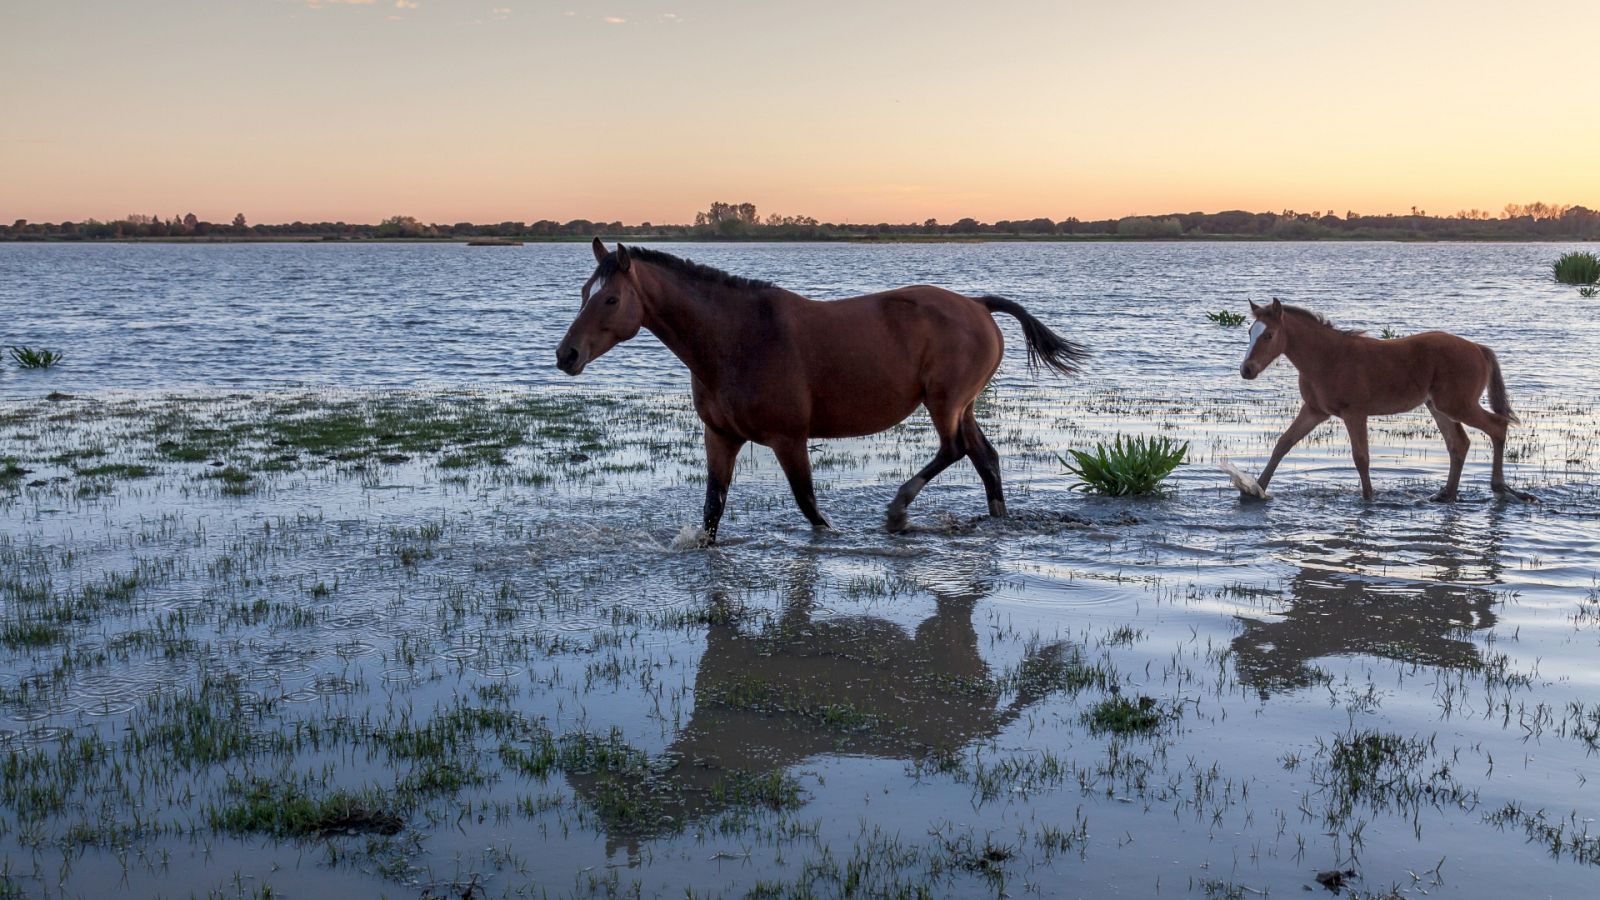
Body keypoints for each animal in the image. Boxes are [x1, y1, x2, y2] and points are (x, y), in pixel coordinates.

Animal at [555, 239, 1085, 541]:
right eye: (583, 293)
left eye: (611, 299)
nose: (566, 355)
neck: (739, 337)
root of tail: (977, 304)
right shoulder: (720, 437)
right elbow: (712, 508)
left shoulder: (789, 439)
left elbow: (808, 504)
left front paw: (832, 535)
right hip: (963, 404)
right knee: (984, 457)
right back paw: (996, 520)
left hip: (944, 402)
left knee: (954, 449)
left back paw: (898, 512)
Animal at [1238, 298, 1535, 502]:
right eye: (1250, 332)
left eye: (1269, 335)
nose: (1247, 370)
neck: (1327, 358)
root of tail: (1479, 349)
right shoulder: (1314, 411)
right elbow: (1282, 444)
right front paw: (1255, 490)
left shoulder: (1354, 413)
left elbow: (1361, 458)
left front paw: (1369, 498)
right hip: (1439, 406)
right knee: (1459, 443)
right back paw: (1446, 495)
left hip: (1457, 404)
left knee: (1497, 426)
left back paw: (1498, 487)